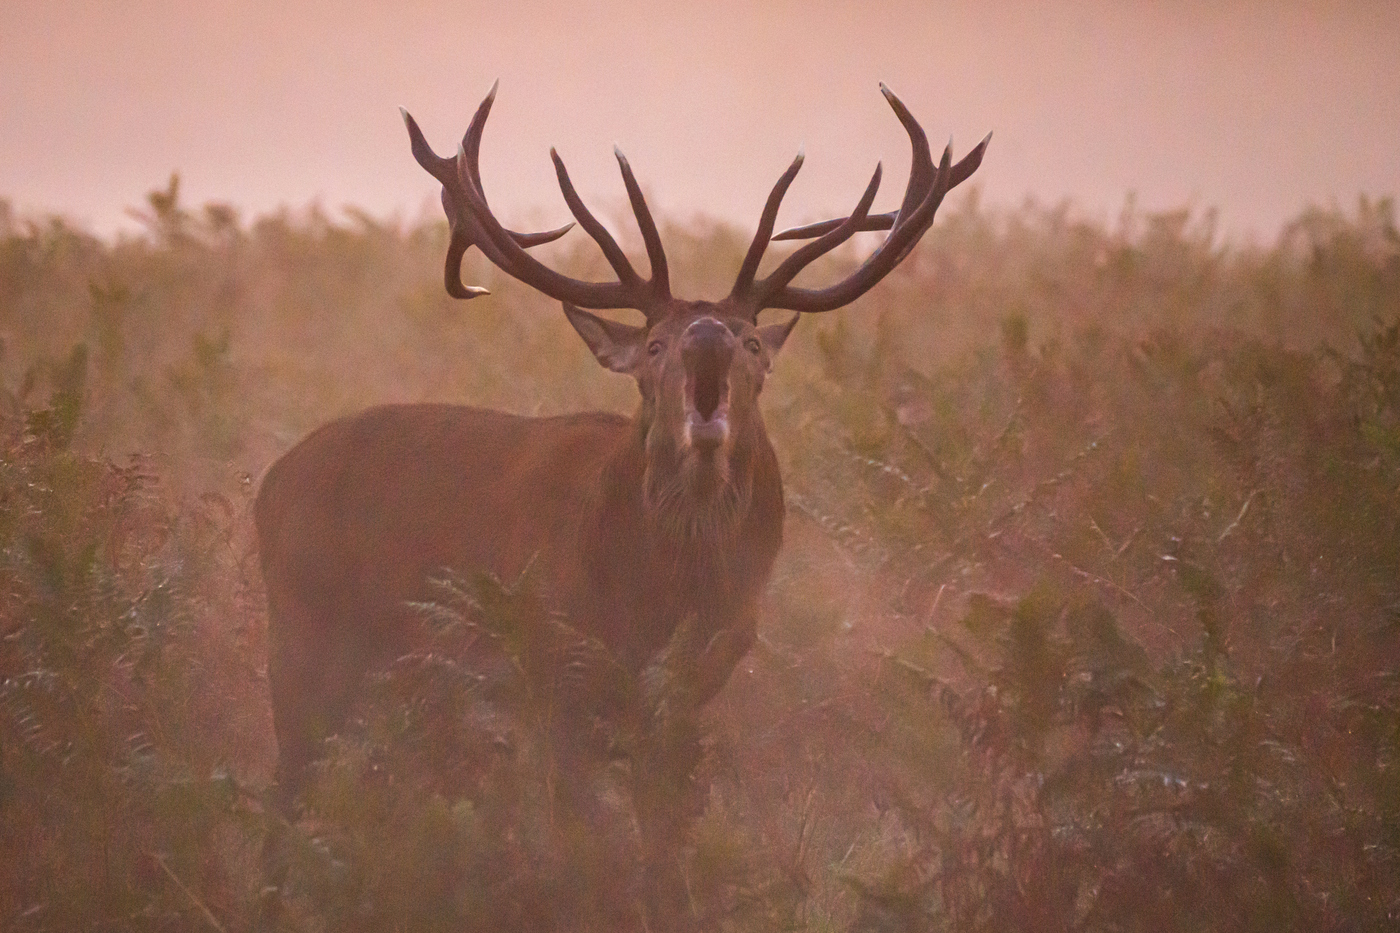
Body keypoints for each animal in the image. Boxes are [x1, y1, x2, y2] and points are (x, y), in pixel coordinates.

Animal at [254, 82, 988, 811]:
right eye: (655, 344)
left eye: (751, 340)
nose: (706, 338)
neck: (669, 592)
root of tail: (268, 484)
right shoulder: (555, 667)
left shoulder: (697, 682)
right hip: (303, 645)